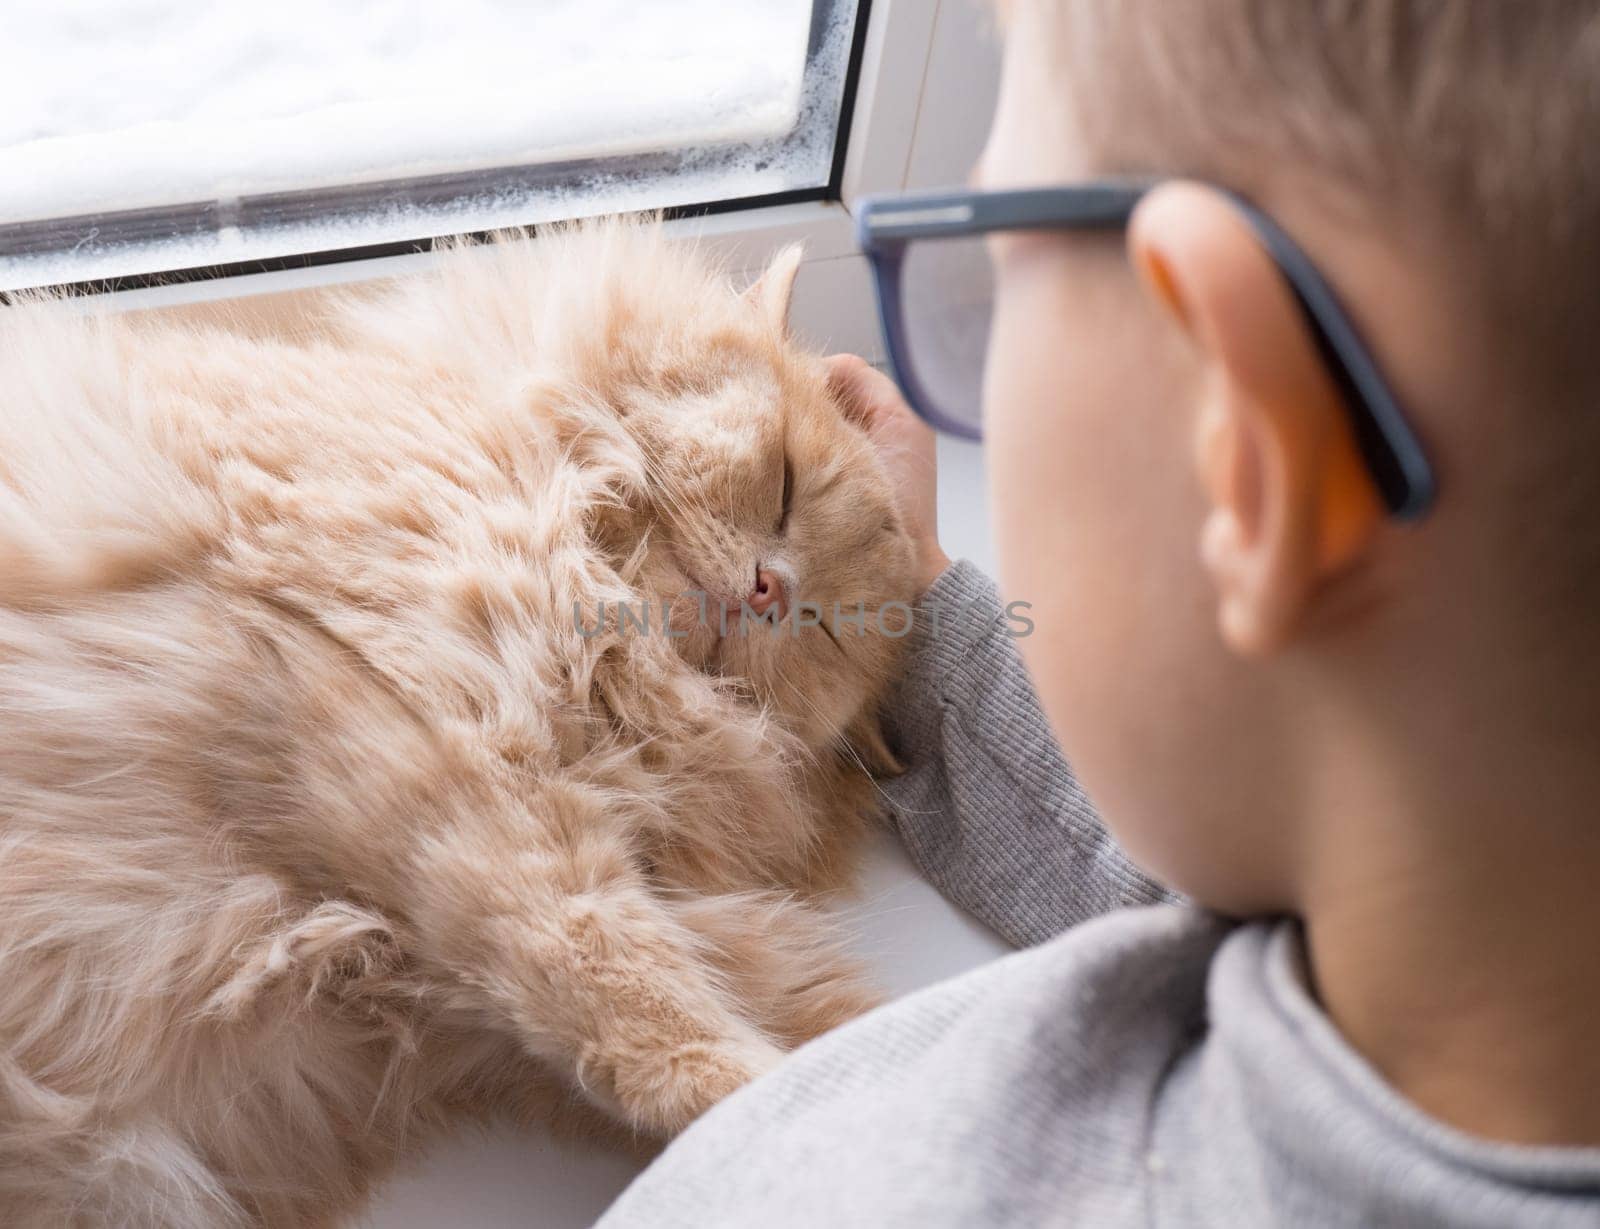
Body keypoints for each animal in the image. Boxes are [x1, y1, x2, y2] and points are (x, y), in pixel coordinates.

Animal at [0, 224, 915, 1229]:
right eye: (784, 484)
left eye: (826, 626)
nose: (769, 589)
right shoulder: (412, 753)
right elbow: (625, 994)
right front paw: (782, 1101)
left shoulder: (470, 1017)